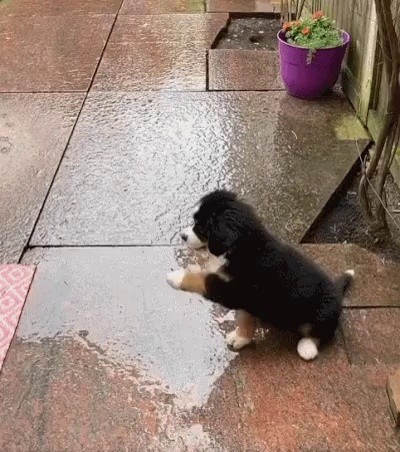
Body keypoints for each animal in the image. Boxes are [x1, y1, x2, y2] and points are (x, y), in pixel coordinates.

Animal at [166, 190, 354, 361]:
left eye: (200, 226)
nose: (182, 236)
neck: (240, 247)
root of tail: (337, 293)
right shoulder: (247, 300)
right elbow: (245, 318)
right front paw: (241, 338)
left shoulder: (236, 290)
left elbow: (204, 279)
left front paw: (176, 277)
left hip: (322, 313)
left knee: (322, 332)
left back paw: (307, 347)